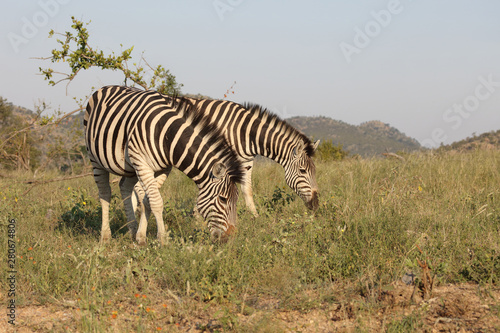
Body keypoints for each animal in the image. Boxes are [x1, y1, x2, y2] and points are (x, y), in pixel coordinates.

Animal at [84, 84, 244, 243]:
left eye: (236, 199)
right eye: (223, 199)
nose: (231, 237)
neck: (167, 136)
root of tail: (105, 87)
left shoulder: (163, 169)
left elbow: (147, 201)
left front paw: (141, 237)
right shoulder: (143, 164)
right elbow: (156, 202)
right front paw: (162, 239)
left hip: (130, 167)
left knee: (125, 188)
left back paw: (132, 231)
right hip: (96, 159)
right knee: (105, 193)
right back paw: (105, 236)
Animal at [135, 97, 318, 217]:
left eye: (314, 171)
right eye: (303, 171)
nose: (316, 204)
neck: (245, 132)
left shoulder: (246, 163)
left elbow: (247, 191)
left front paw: (256, 217)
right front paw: (197, 216)